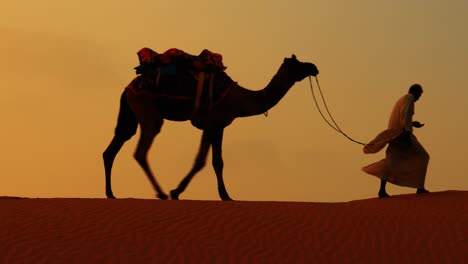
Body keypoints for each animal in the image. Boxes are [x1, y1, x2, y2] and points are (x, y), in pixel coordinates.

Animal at [102, 54, 318, 201]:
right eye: (298, 64)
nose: (314, 67)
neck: (240, 99)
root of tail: (128, 88)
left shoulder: (219, 126)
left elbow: (218, 162)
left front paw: (226, 195)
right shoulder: (211, 123)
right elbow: (201, 161)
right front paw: (176, 191)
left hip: (130, 114)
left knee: (114, 146)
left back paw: (110, 193)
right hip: (148, 111)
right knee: (141, 150)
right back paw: (161, 192)